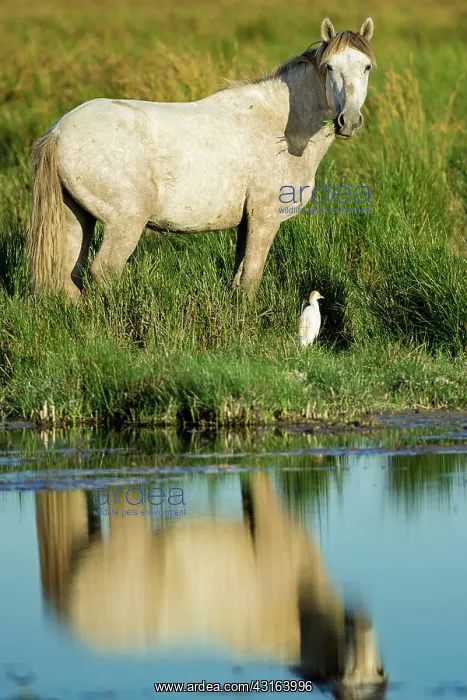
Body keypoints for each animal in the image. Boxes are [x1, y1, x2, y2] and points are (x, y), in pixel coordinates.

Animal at [29, 17, 376, 301]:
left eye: (366, 67)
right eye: (329, 67)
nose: (348, 121)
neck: (282, 126)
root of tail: (59, 131)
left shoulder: (246, 224)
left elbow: (238, 278)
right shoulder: (264, 219)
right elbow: (250, 279)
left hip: (76, 218)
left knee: (68, 279)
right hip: (125, 222)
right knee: (105, 271)